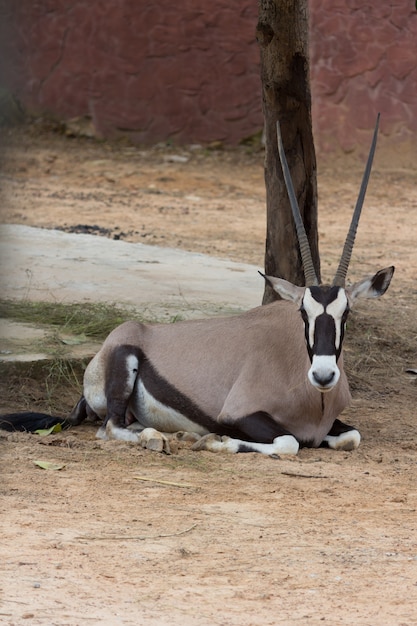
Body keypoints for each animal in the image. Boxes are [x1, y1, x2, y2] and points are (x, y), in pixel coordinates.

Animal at [0, 116, 392, 454]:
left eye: (346, 313)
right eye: (303, 313)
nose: (323, 374)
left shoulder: (333, 426)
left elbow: (350, 437)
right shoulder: (238, 415)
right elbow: (288, 442)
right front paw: (212, 442)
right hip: (123, 367)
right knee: (109, 427)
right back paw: (160, 437)